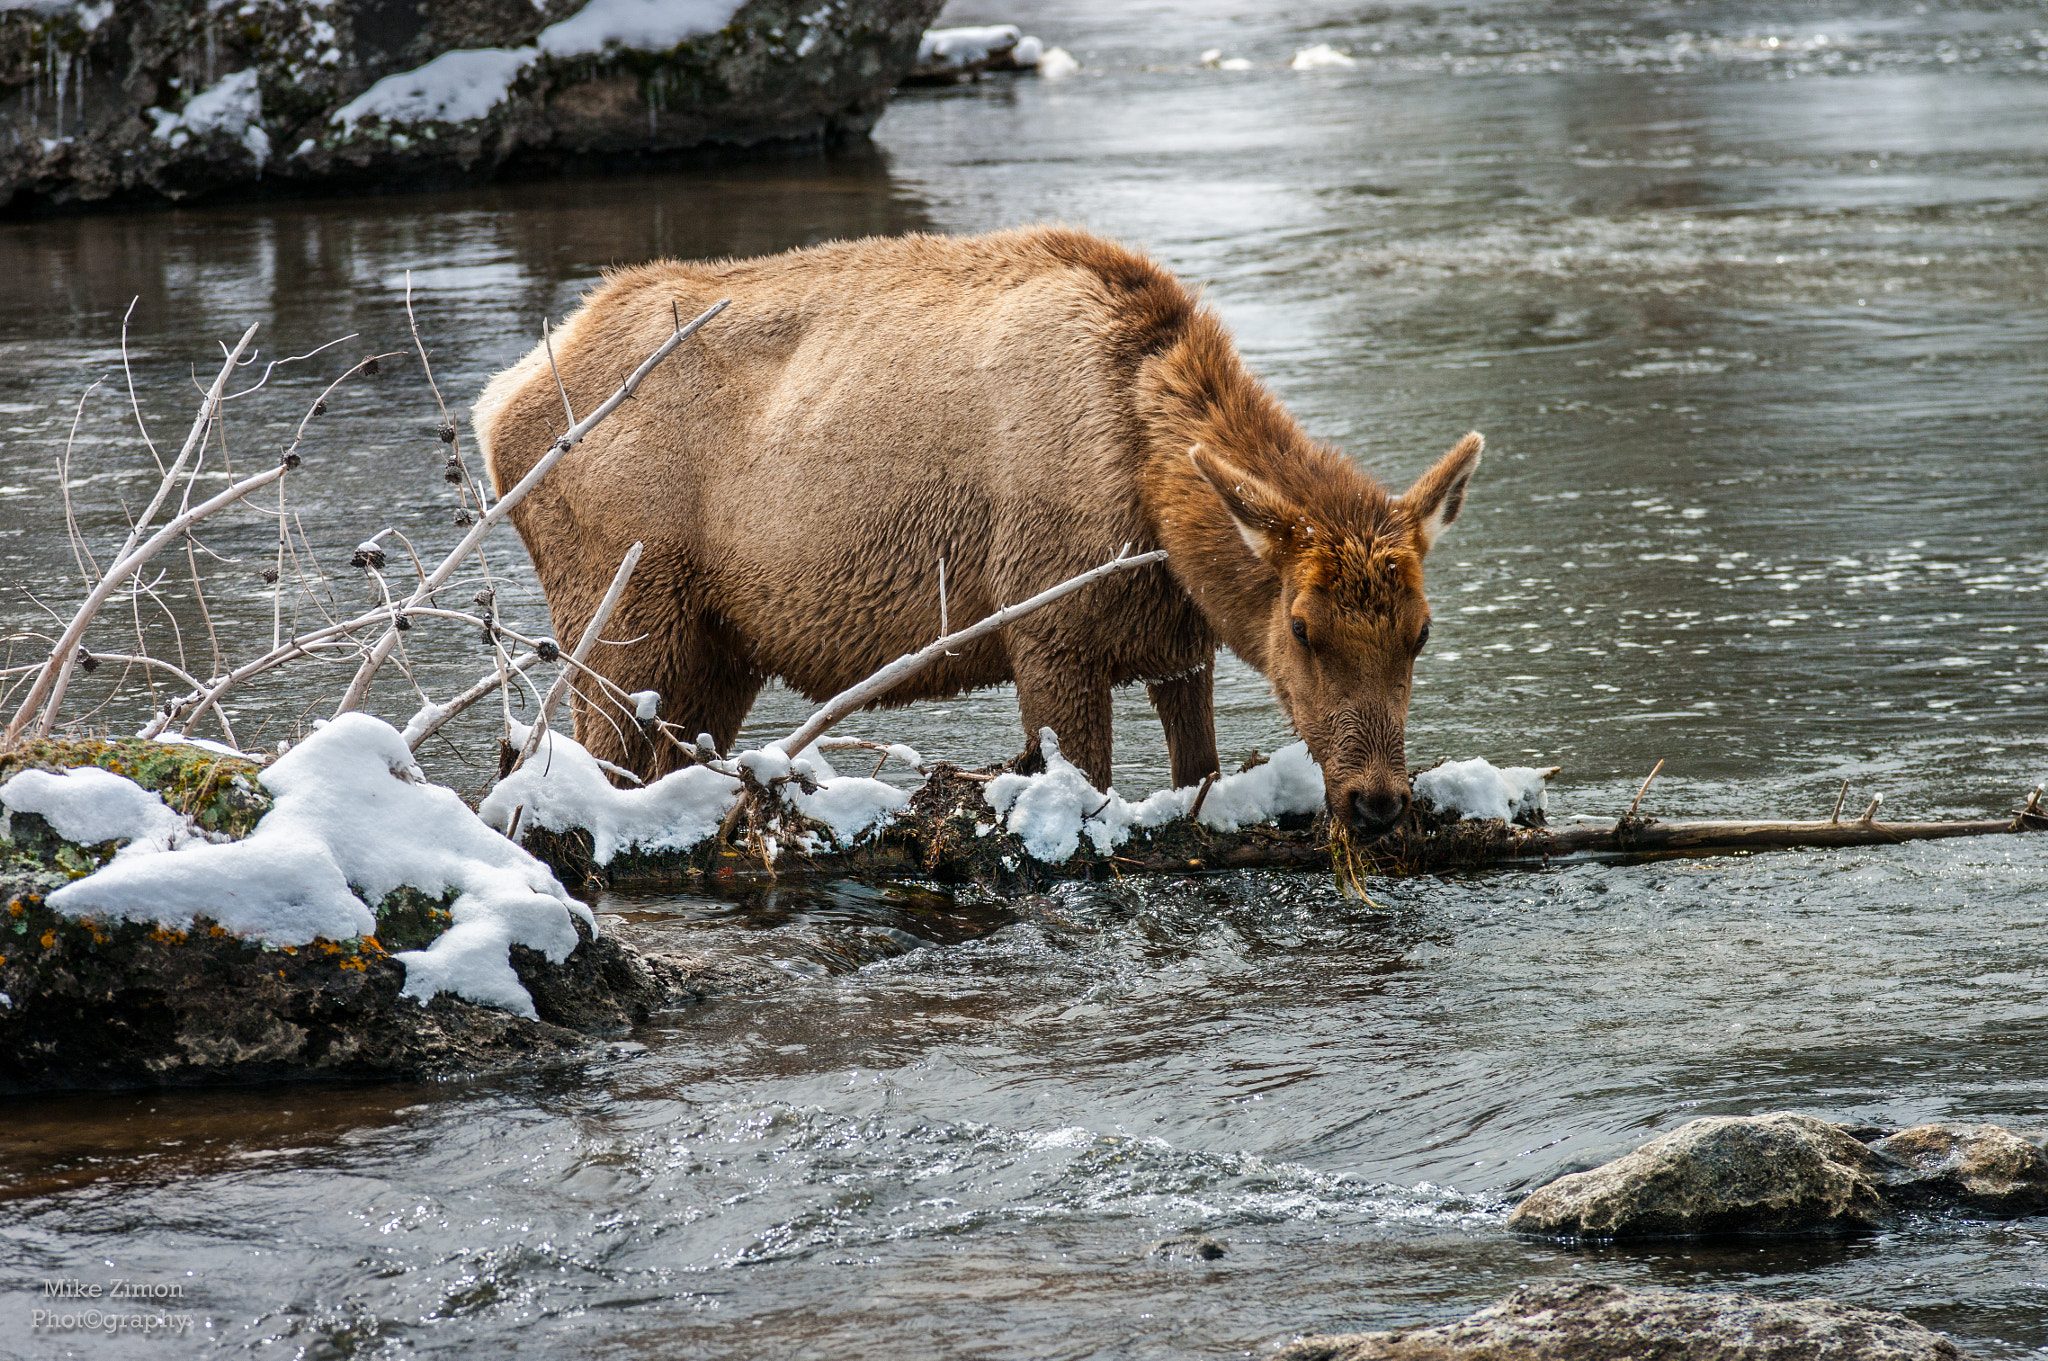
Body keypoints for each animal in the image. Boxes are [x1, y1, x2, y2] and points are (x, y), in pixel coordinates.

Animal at [471, 228, 1482, 835]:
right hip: (622, 609)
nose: (1380, 799)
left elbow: (1194, 770)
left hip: (720, 647)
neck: (1152, 511)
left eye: (1421, 630)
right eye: (1304, 627)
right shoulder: (1047, 631)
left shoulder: (1176, 647)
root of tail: (495, 410)